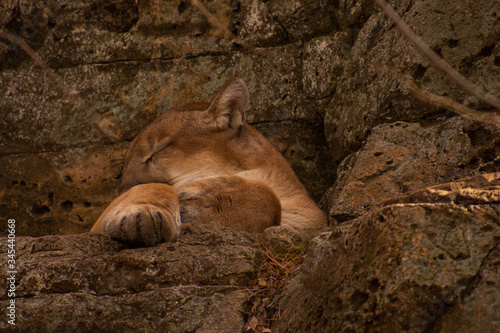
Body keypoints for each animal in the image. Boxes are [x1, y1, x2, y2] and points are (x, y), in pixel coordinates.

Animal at [92, 76, 328, 245]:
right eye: (123, 166)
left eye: (157, 151)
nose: (121, 191)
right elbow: (156, 187)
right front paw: (145, 213)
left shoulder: (308, 218)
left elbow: (272, 203)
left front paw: (204, 200)